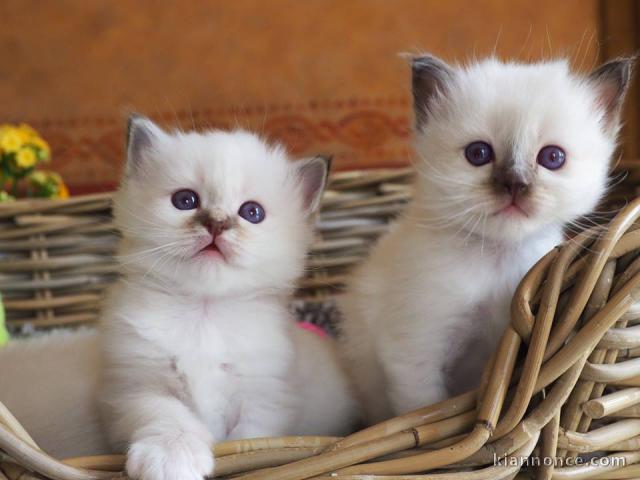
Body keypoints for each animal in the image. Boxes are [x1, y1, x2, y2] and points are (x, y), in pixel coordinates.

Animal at [102, 117, 358, 480]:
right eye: (185, 200)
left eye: (252, 212)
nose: (217, 223)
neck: (204, 312)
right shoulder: (138, 385)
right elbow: (167, 415)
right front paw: (171, 458)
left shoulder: (264, 398)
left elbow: (249, 441)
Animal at [338, 55, 632, 424]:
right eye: (478, 154)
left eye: (553, 158)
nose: (515, 184)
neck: (498, 257)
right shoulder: (415, 351)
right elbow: (423, 408)